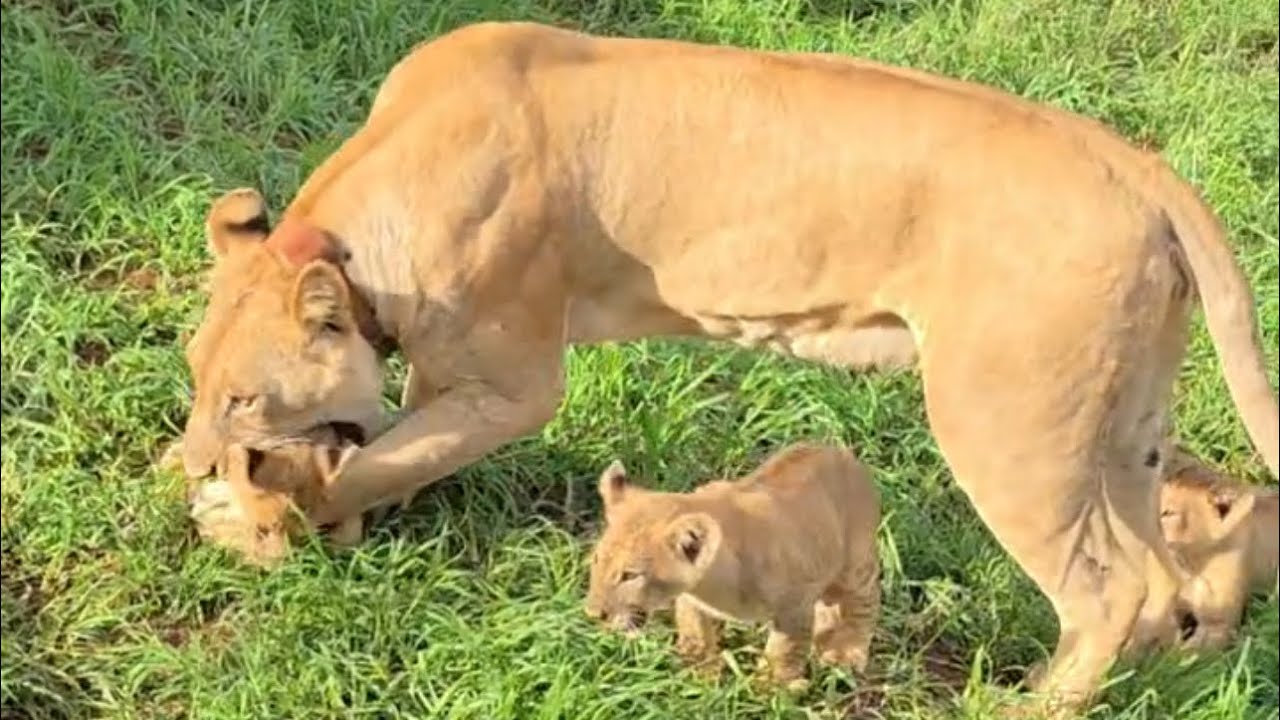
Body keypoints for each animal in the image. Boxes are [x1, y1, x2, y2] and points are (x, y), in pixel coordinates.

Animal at [584, 444, 881, 688]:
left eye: (630, 575)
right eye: (597, 560)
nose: (592, 614)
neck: (714, 583)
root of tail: (840, 451)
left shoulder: (796, 604)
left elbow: (783, 649)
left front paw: (772, 690)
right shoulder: (692, 598)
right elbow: (696, 633)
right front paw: (699, 678)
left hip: (854, 564)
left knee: (864, 600)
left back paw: (846, 653)